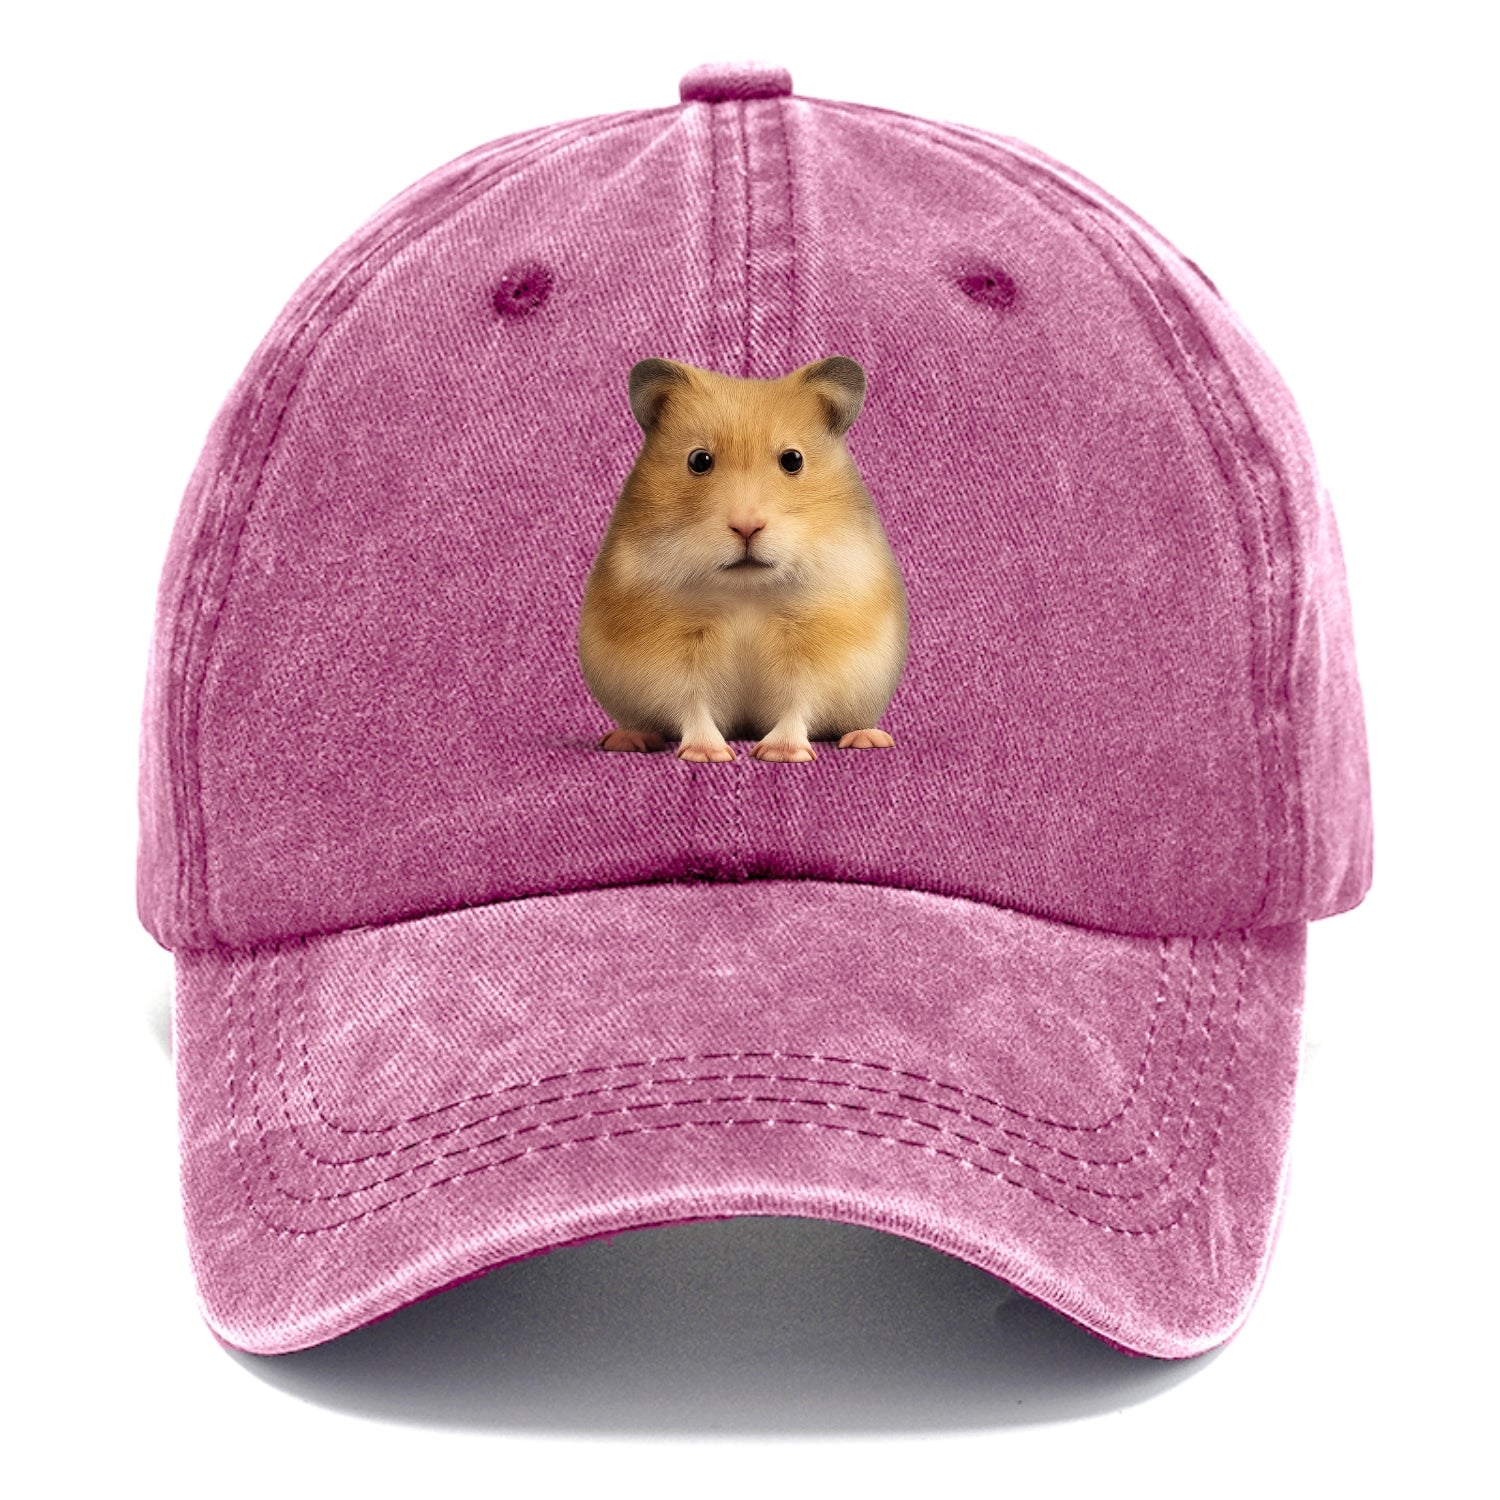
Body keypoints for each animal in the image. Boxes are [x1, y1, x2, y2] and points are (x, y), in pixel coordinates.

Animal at [578, 356, 908, 763]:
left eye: (793, 459)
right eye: (699, 460)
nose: (746, 527)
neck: (745, 592)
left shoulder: (816, 652)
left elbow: (798, 703)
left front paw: (780, 754)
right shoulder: (671, 659)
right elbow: (691, 704)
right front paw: (708, 755)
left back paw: (869, 738)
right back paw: (627, 739)